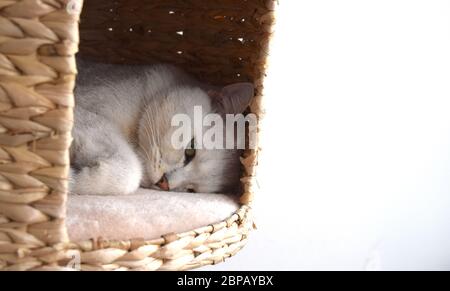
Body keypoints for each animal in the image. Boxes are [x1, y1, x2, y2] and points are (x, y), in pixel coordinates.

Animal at [69, 59, 255, 196]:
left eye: (191, 190)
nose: (164, 184)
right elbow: (130, 172)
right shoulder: (86, 116)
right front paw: (70, 181)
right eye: (190, 151)